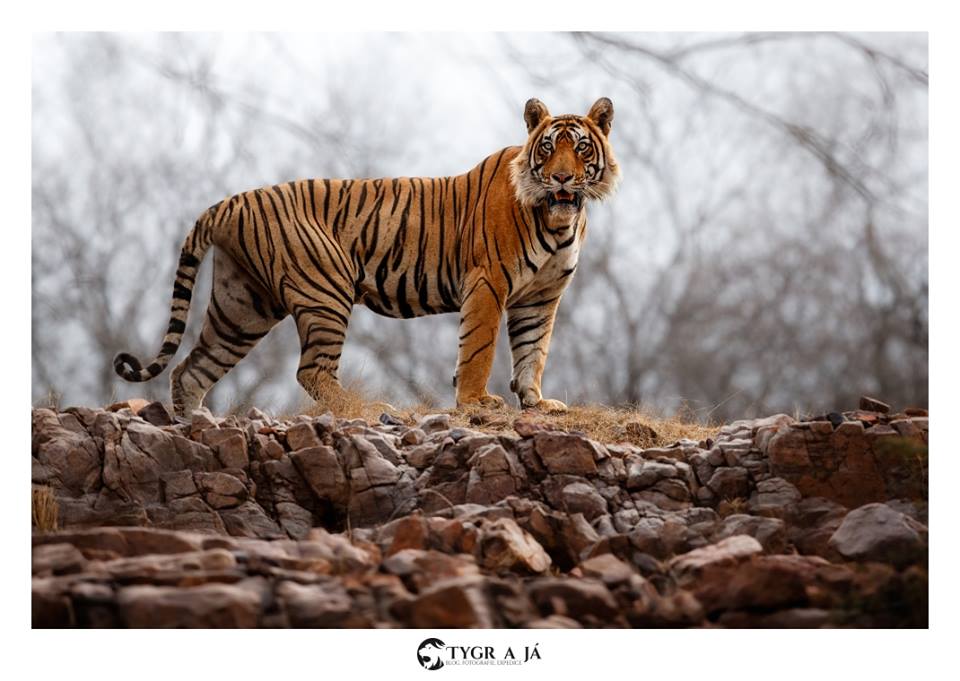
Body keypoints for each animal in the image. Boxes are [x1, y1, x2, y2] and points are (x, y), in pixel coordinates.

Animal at [112, 95, 624, 414]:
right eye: (547, 148)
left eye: (581, 148)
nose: (561, 178)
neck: (561, 220)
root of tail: (226, 204)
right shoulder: (488, 282)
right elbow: (479, 349)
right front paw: (477, 402)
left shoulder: (541, 296)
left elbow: (534, 350)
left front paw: (537, 402)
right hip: (325, 291)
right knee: (310, 371)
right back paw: (368, 408)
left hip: (243, 307)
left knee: (191, 370)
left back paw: (194, 425)